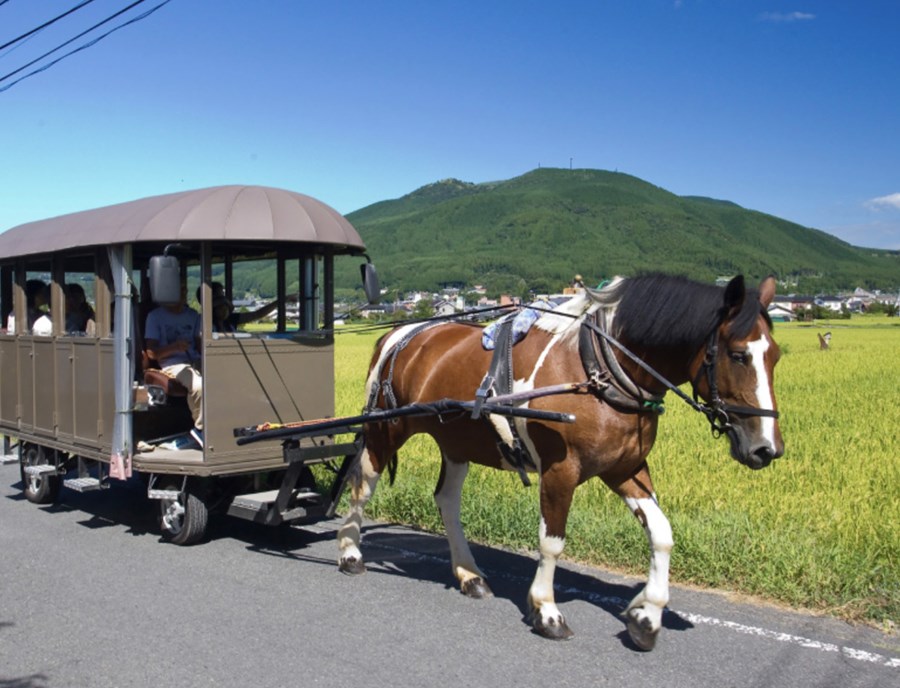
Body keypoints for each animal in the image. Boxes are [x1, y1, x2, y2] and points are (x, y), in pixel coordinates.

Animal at [337, 273, 783, 650]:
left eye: (776, 356)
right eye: (738, 355)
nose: (767, 448)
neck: (599, 369)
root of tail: (398, 333)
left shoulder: (626, 469)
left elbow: (662, 534)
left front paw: (647, 613)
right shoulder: (560, 470)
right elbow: (551, 541)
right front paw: (547, 610)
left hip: (456, 439)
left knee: (446, 500)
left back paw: (468, 573)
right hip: (386, 428)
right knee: (362, 485)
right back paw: (350, 552)